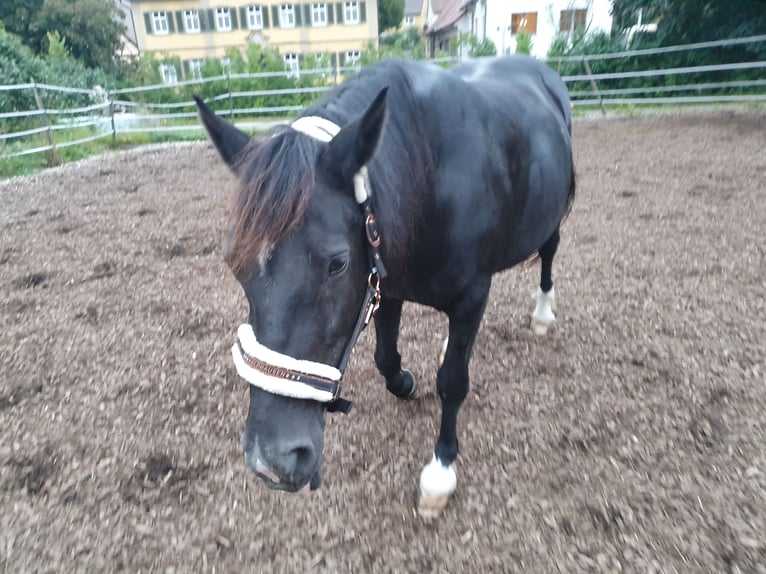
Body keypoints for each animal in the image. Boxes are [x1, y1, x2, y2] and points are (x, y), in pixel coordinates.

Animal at [198, 56, 576, 520]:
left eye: (337, 264)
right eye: (234, 262)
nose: (271, 461)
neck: (432, 173)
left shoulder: (471, 295)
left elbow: (453, 381)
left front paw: (440, 472)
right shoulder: (384, 283)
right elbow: (386, 359)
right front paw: (408, 383)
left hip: (552, 219)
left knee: (549, 252)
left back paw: (542, 314)